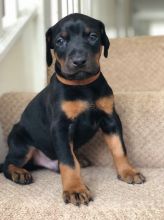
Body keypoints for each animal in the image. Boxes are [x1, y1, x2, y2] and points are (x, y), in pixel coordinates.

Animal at [0, 13, 145, 206]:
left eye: (93, 36)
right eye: (60, 41)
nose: (79, 61)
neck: (82, 86)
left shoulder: (110, 119)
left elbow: (119, 148)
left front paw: (127, 171)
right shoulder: (60, 127)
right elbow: (68, 161)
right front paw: (75, 189)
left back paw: (80, 158)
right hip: (21, 143)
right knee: (7, 163)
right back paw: (19, 172)